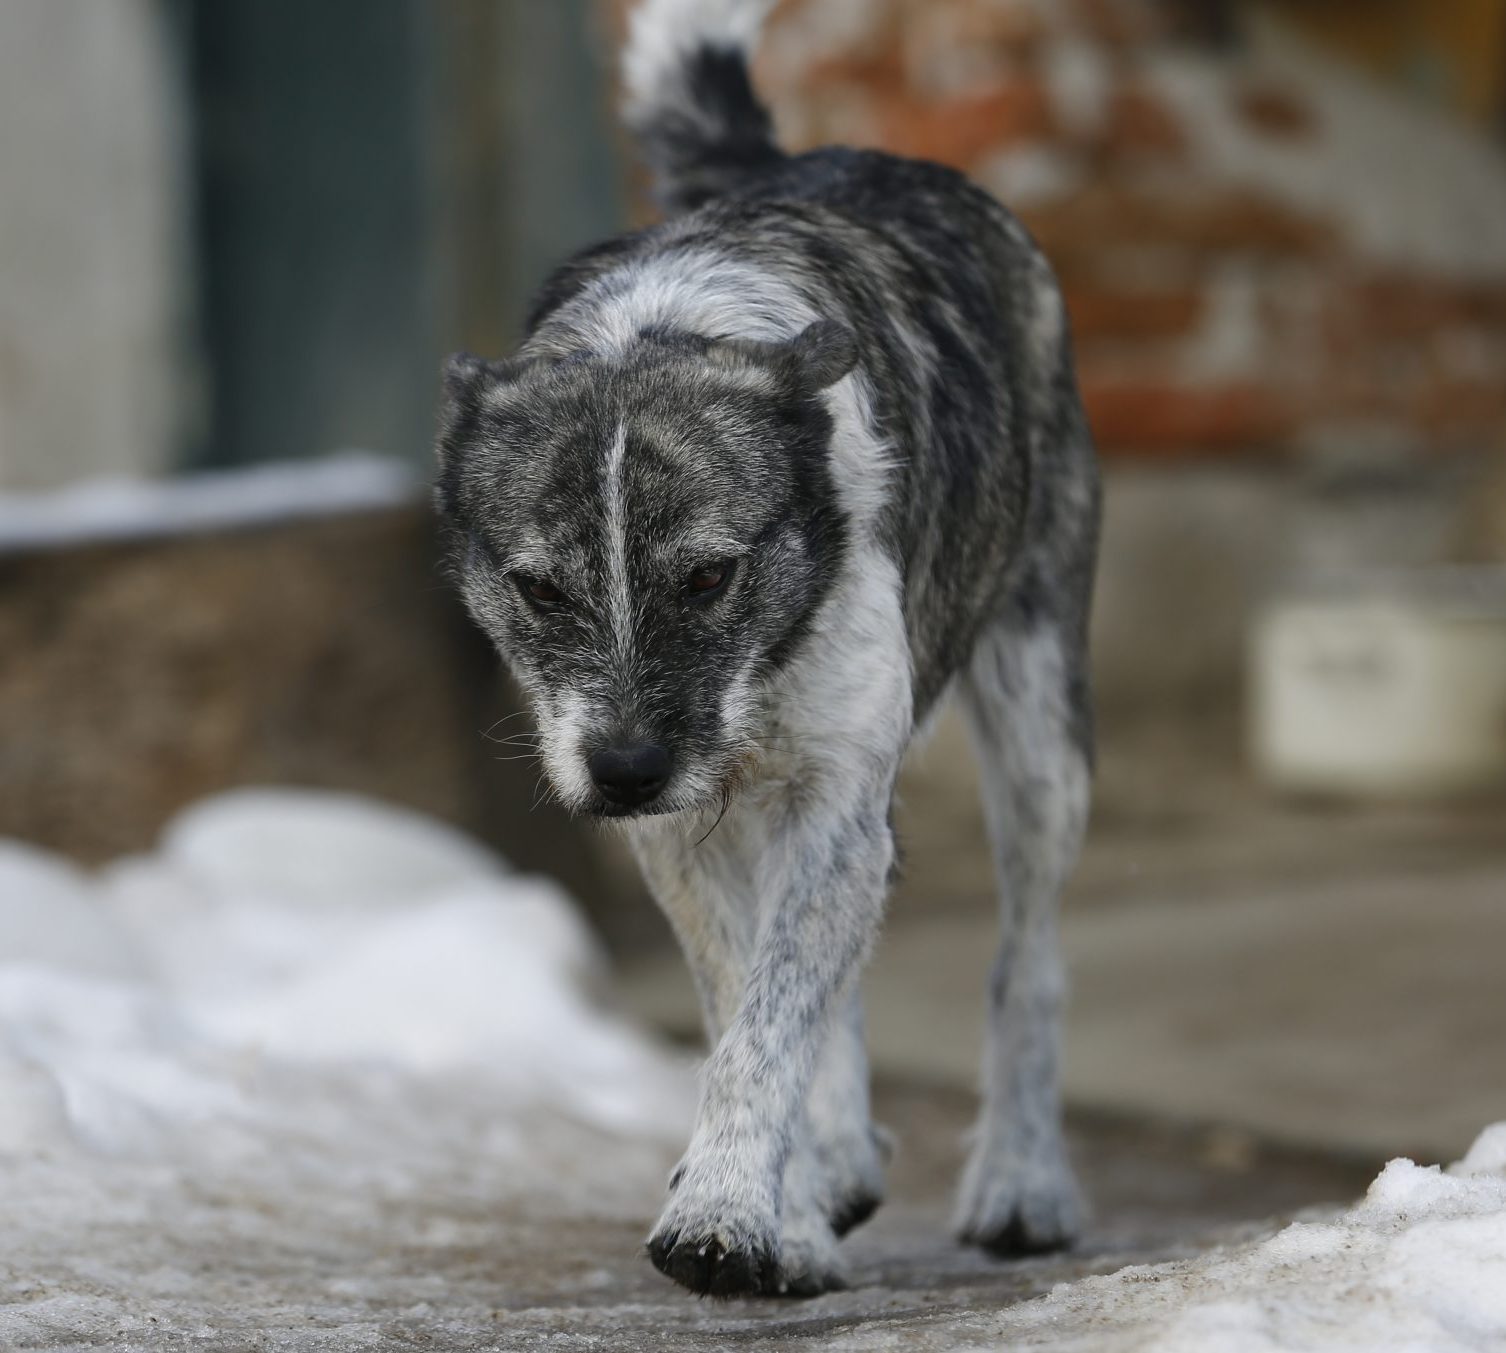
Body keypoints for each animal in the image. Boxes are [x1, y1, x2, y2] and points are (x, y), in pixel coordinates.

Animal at [434, 0, 1100, 1298]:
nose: (626, 770)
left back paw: (1021, 1183)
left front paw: (728, 1214)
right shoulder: (680, 836)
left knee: (1029, 959)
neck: (656, 330)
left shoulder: (836, 788)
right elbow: (750, 1000)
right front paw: (782, 1206)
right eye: (537, 588)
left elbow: (773, 1020)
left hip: (1041, 735)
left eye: (709, 575)